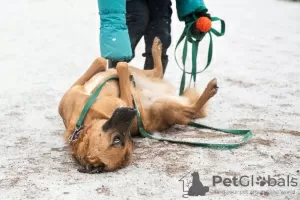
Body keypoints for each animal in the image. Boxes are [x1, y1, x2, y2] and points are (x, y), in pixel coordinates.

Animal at [58, 37, 218, 173]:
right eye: (117, 140)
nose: (133, 112)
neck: (85, 117)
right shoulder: (126, 101)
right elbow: (121, 67)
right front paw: (122, 68)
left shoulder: (76, 89)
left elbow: (101, 60)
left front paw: (113, 67)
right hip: (161, 106)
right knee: (191, 109)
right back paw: (210, 89)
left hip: (147, 77)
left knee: (157, 71)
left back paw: (156, 48)